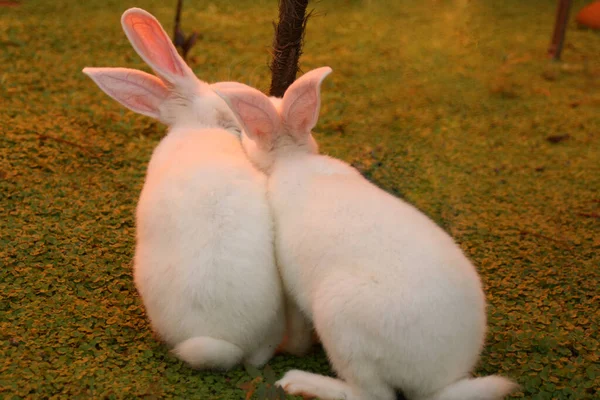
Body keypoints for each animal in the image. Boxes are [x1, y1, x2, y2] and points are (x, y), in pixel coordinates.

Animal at [217, 67, 520, 398]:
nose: (239, 138)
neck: (291, 158)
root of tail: (439, 380)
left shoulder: (291, 290)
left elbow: (297, 334)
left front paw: (285, 347)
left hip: (341, 322)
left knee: (372, 393)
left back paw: (300, 382)